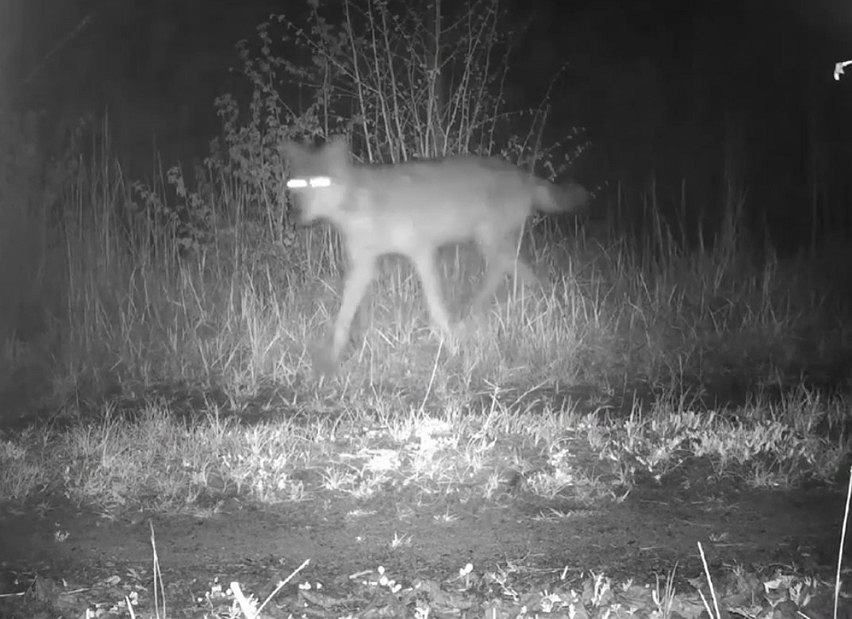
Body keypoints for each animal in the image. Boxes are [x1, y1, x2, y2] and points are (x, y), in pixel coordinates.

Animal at [282, 137, 588, 372]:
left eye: (320, 182)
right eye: (296, 185)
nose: (297, 216)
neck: (359, 206)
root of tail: (522, 173)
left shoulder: (422, 252)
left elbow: (435, 305)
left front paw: (449, 342)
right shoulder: (363, 266)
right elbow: (344, 316)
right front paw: (332, 359)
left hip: (488, 240)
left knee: (509, 267)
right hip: (490, 242)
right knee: (512, 268)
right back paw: (527, 298)